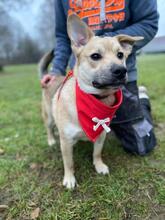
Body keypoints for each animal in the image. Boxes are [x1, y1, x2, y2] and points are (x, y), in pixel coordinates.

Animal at [39, 13, 143, 189]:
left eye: (120, 55)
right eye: (95, 56)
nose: (121, 70)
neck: (95, 99)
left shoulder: (101, 135)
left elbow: (97, 153)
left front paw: (99, 166)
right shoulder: (66, 142)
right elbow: (69, 163)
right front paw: (69, 178)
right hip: (49, 117)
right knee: (49, 128)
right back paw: (52, 140)